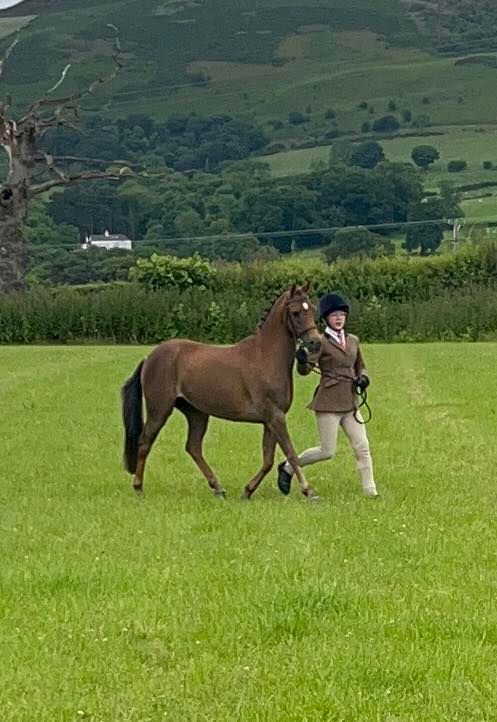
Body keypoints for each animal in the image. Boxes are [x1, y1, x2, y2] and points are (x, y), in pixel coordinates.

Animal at [120, 284, 322, 498]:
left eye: (312, 309)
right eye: (295, 312)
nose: (315, 343)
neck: (266, 356)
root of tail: (149, 358)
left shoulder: (271, 420)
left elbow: (268, 460)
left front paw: (248, 491)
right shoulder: (276, 418)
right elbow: (291, 453)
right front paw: (309, 491)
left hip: (196, 413)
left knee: (193, 447)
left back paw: (218, 488)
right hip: (159, 410)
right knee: (145, 442)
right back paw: (138, 488)